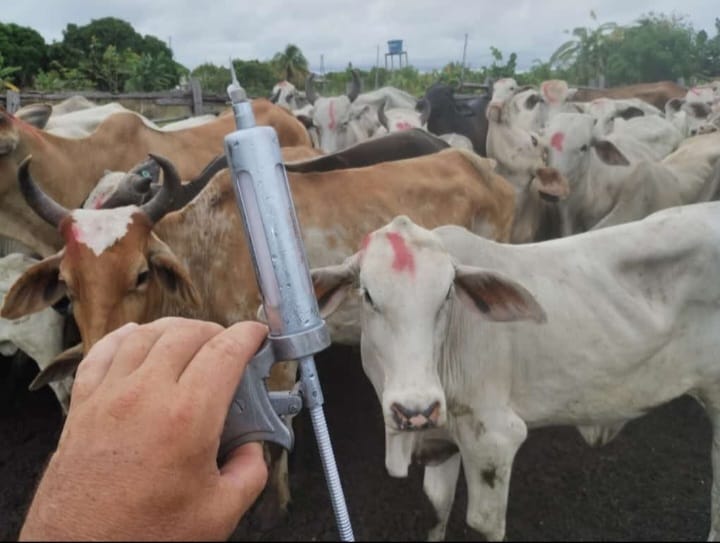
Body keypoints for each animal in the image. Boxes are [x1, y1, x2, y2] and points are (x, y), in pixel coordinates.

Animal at [314, 208, 720, 540]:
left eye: (447, 295)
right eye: (368, 295)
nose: (417, 410)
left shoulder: (495, 438)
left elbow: (483, 523)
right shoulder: (445, 441)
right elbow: (437, 508)